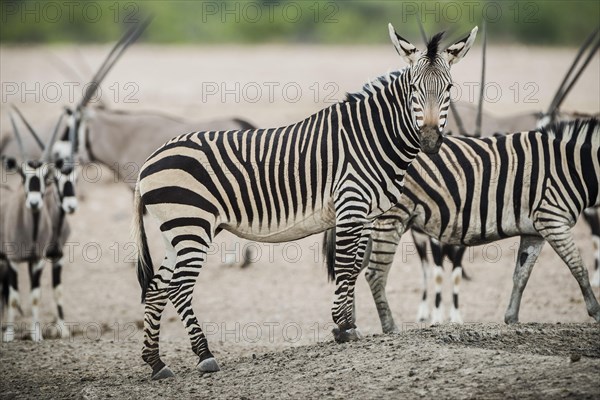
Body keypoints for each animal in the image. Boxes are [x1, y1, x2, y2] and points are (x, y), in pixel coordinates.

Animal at [0, 111, 68, 340]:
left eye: (46, 176)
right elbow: (14, 297)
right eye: (23, 175)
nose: (34, 203)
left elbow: (35, 296)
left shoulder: (36, 261)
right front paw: (9, 335)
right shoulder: (12, 260)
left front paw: (36, 334)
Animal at [131, 26, 478, 380]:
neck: (373, 138)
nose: (430, 141)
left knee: (157, 287)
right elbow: (345, 266)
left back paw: (156, 362)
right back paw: (204, 356)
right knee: (178, 288)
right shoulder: (351, 203)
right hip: (191, 226)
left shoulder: (365, 214)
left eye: (449, 88)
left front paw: (348, 325)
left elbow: (355, 266)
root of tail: (147, 163)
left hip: (178, 231)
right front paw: (342, 326)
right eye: (413, 89)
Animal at [328, 118, 600, 332]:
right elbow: (579, 268)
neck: (573, 167)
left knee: (351, 270)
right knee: (373, 273)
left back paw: (347, 328)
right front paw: (596, 311)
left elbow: (521, 274)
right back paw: (388, 328)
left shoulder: (534, 231)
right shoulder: (552, 218)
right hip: (391, 218)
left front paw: (511, 318)